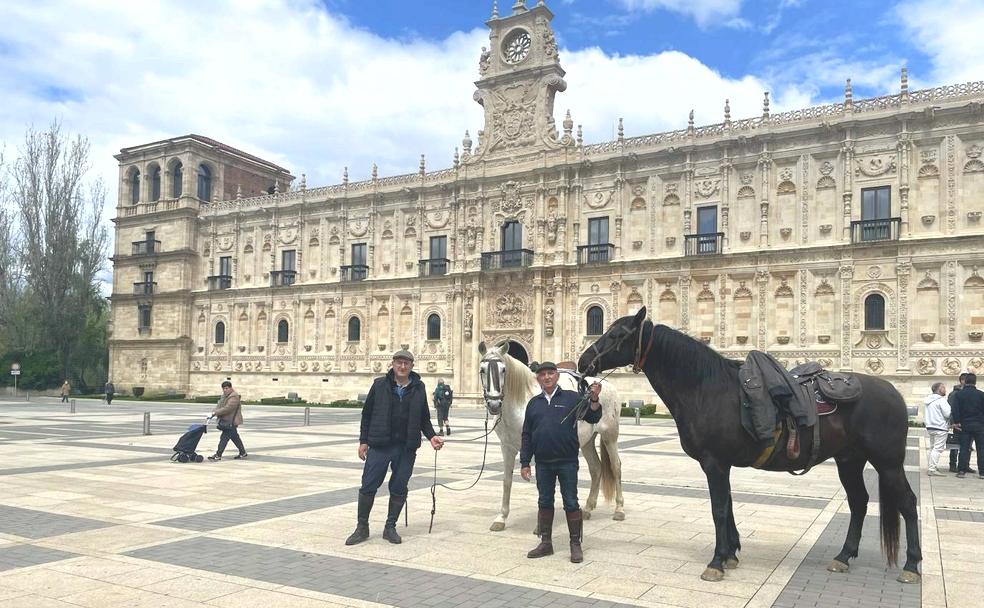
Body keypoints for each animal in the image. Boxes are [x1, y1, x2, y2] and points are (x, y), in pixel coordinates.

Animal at [476, 342, 624, 532]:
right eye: (482, 370)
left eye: (503, 370)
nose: (494, 405)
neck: (519, 405)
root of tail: (603, 383)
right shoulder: (506, 447)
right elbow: (507, 481)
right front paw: (501, 518)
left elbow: (542, 484)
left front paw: (540, 525)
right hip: (587, 442)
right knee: (596, 468)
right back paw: (587, 509)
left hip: (609, 436)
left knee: (616, 467)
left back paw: (619, 509)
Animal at [580, 308, 920, 584]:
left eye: (618, 334)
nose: (584, 361)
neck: (705, 387)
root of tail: (893, 392)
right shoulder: (722, 463)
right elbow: (728, 505)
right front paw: (731, 554)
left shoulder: (714, 462)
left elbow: (718, 508)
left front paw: (716, 562)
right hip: (849, 459)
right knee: (859, 502)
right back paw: (843, 557)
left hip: (888, 462)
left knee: (907, 502)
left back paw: (911, 566)